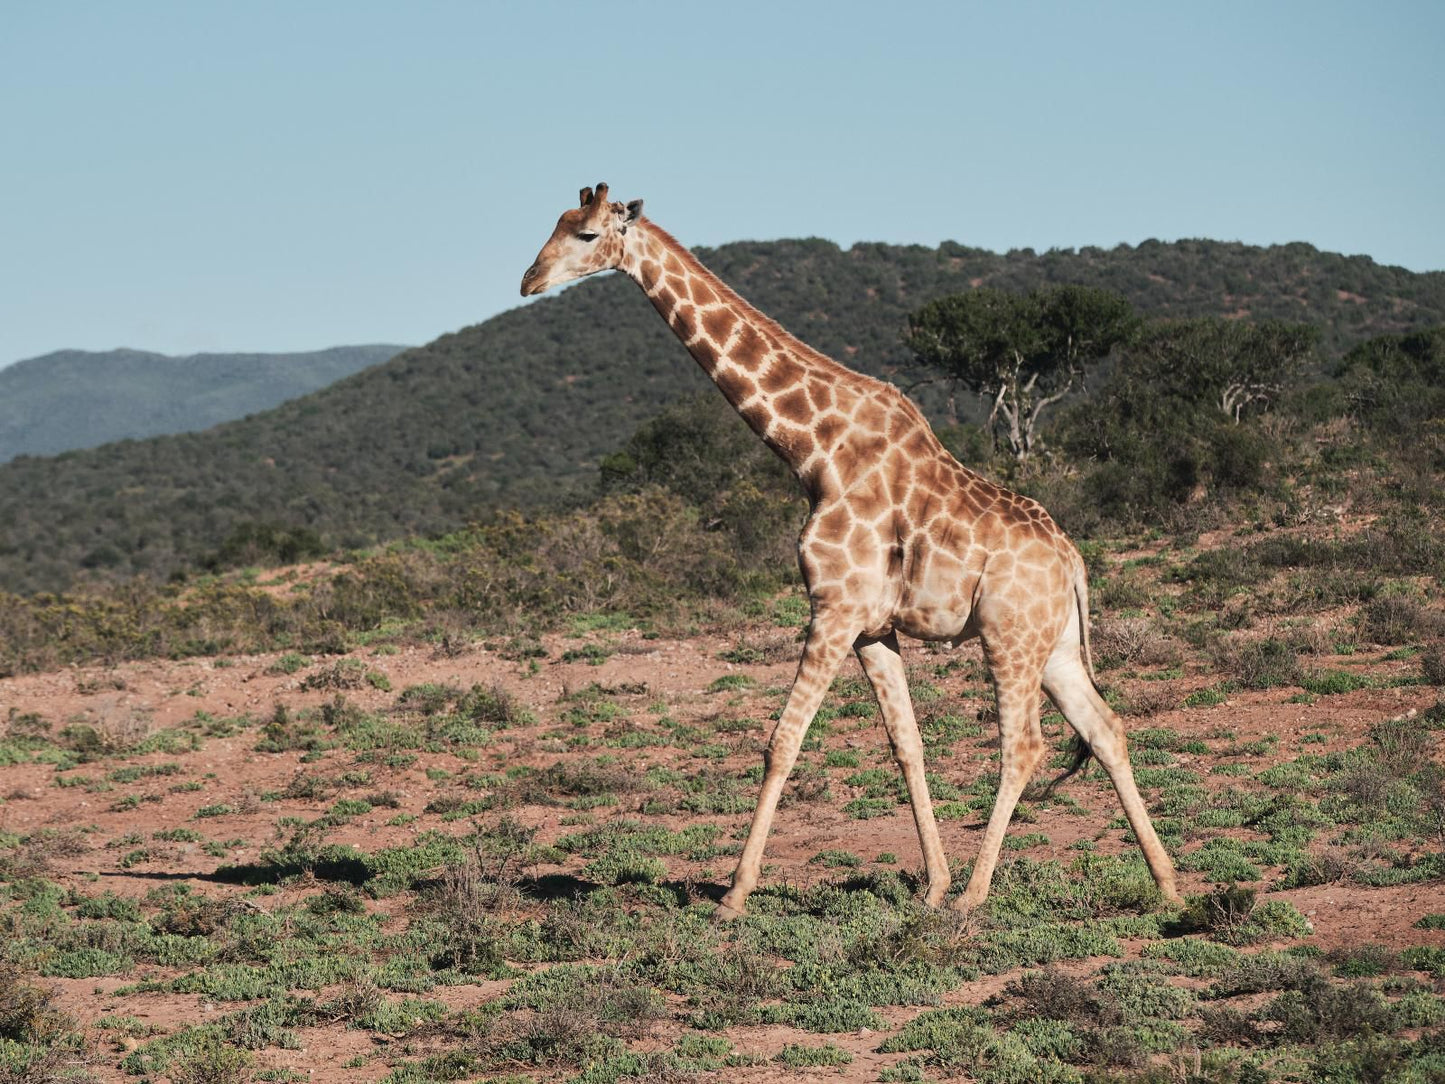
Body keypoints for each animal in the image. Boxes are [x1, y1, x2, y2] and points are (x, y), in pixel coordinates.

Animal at [525, 185, 1179, 919]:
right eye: (556, 224)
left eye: (584, 235)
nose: (528, 282)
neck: (815, 452)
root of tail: (1073, 564)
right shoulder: (872, 627)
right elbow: (906, 744)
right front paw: (931, 883)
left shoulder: (832, 609)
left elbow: (782, 742)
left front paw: (734, 894)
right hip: (1055, 646)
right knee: (1105, 728)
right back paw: (1166, 885)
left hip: (1007, 637)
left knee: (1023, 746)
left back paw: (976, 896)